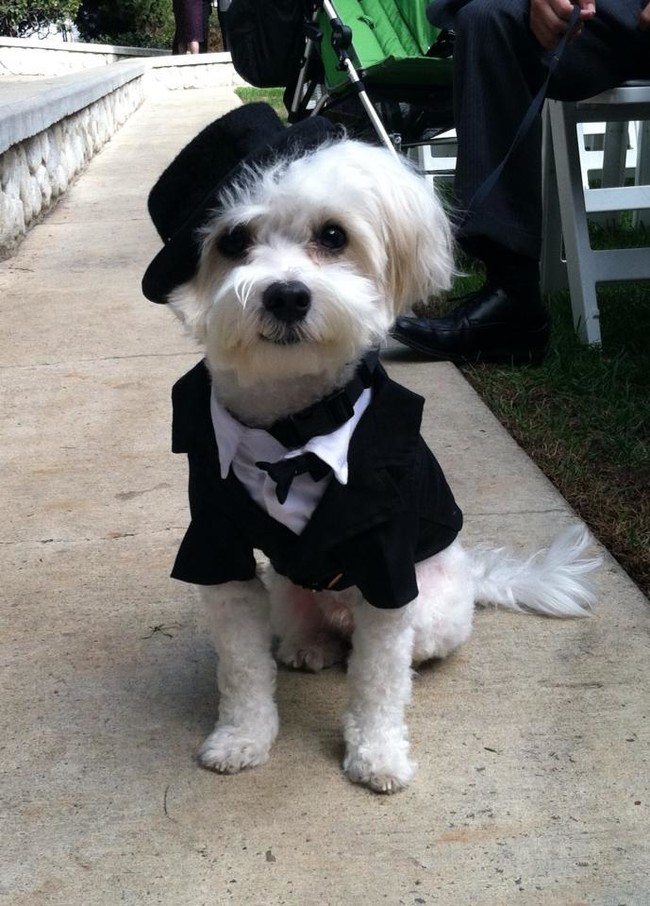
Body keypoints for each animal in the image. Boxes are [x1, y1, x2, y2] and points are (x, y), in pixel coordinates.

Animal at [143, 102, 596, 788]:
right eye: (233, 242)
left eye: (333, 236)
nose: (287, 295)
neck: (294, 425)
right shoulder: (218, 547)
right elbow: (243, 669)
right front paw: (242, 738)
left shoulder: (386, 566)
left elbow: (379, 680)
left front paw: (377, 753)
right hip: (287, 590)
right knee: (308, 630)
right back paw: (308, 646)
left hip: (431, 605)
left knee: (401, 651)